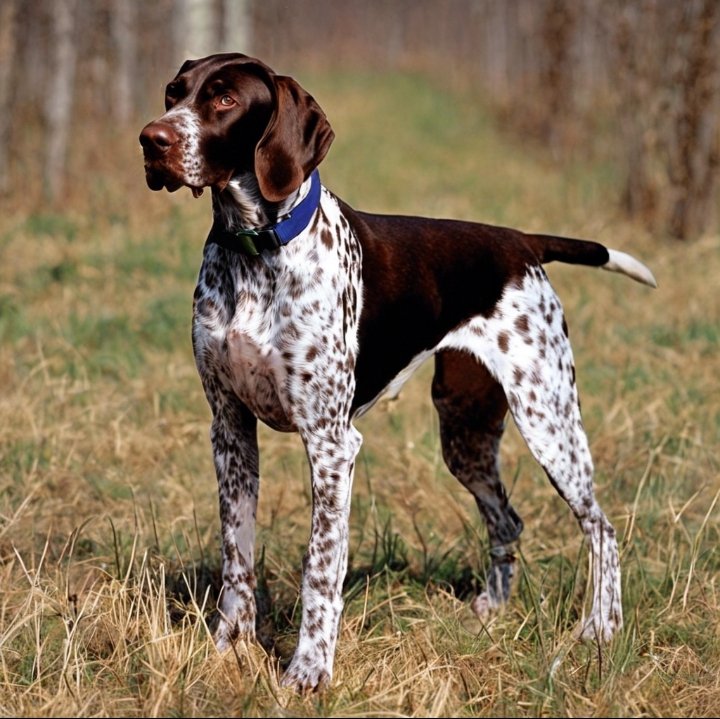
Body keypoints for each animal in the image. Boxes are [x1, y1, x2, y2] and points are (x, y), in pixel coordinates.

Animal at [138, 52, 656, 692]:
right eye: (173, 92)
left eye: (225, 99)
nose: (150, 140)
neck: (254, 251)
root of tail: (520, 242)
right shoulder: (230, 430)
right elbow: (237, 557)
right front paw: (225, 652)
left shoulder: (331, 444)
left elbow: (320, 569)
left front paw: (308, 672)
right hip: (465, 435)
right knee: (507, 522)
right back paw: (491, 612)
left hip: (549, 423)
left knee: (601, 529)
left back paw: (600, 631)